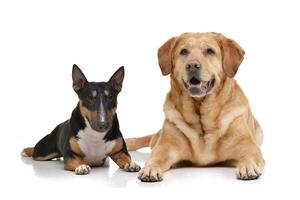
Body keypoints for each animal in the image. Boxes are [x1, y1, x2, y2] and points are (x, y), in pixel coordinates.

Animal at [126, 32, 264, 181]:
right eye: (184, 51)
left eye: (210, 51)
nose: (192, 65)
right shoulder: (165, 146)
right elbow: (156, 157)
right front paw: (150, 168)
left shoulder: (249, 147)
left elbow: (249, 156)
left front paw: (248, 167)